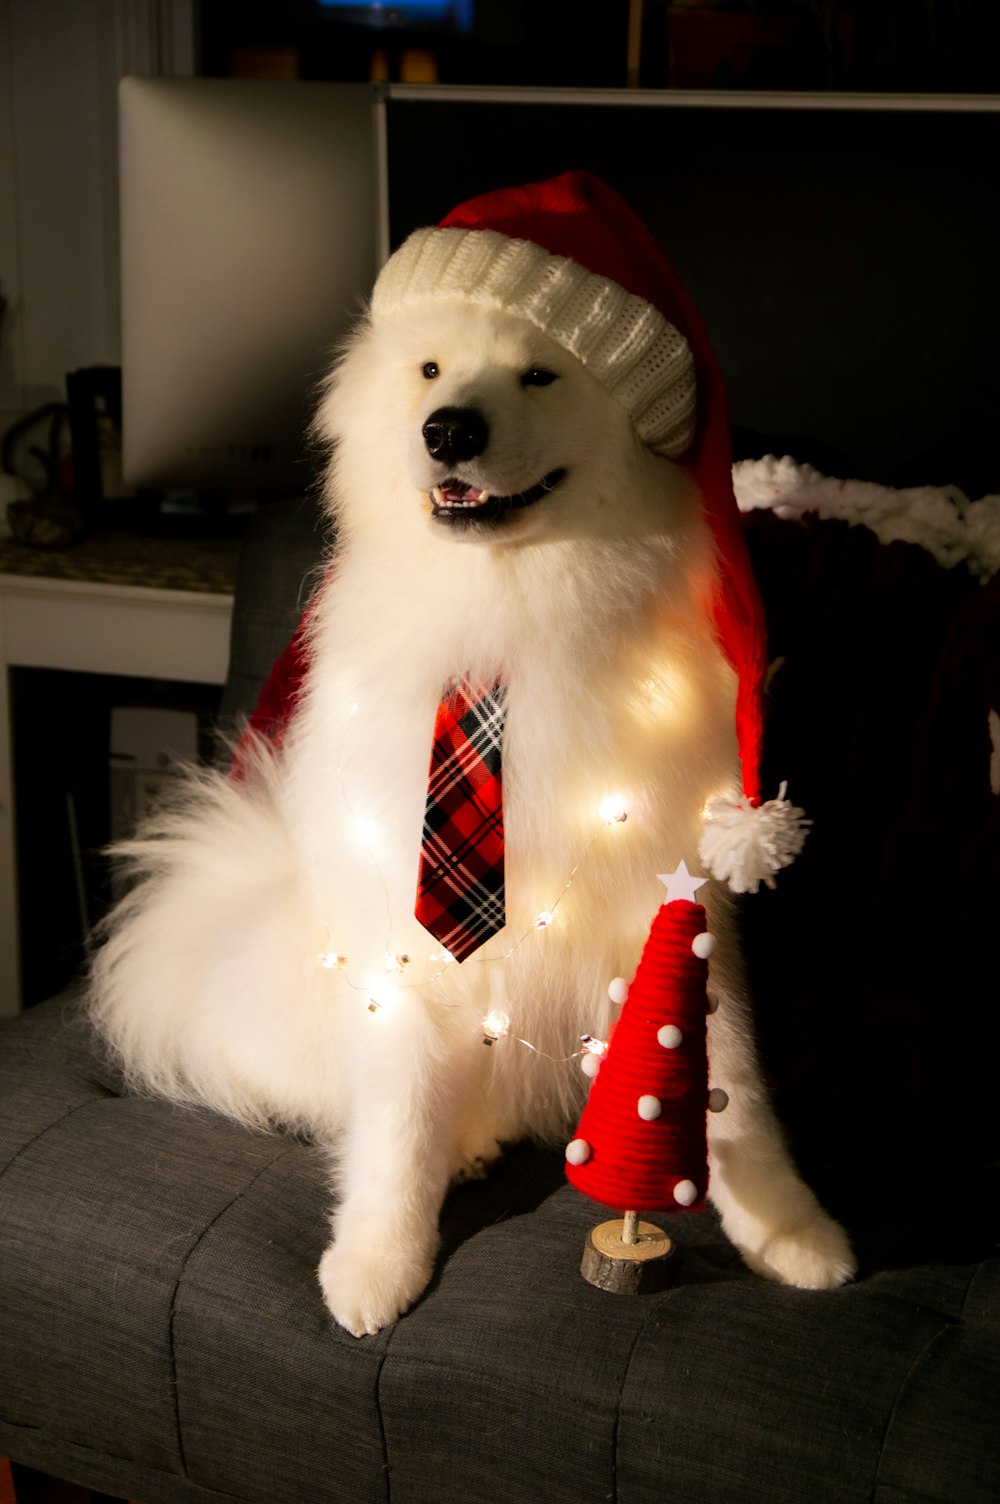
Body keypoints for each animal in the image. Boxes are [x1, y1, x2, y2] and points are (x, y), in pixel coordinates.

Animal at [89, 170, 848, 1335]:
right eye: (432, 369)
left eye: (540, 372)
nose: (446, 428)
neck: (507, 609)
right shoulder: (401, 935)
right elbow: (396, 1123)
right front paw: (376, 1260)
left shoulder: (674, 899)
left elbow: (735, 1090)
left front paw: (788, 1228)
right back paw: (468, 1138)